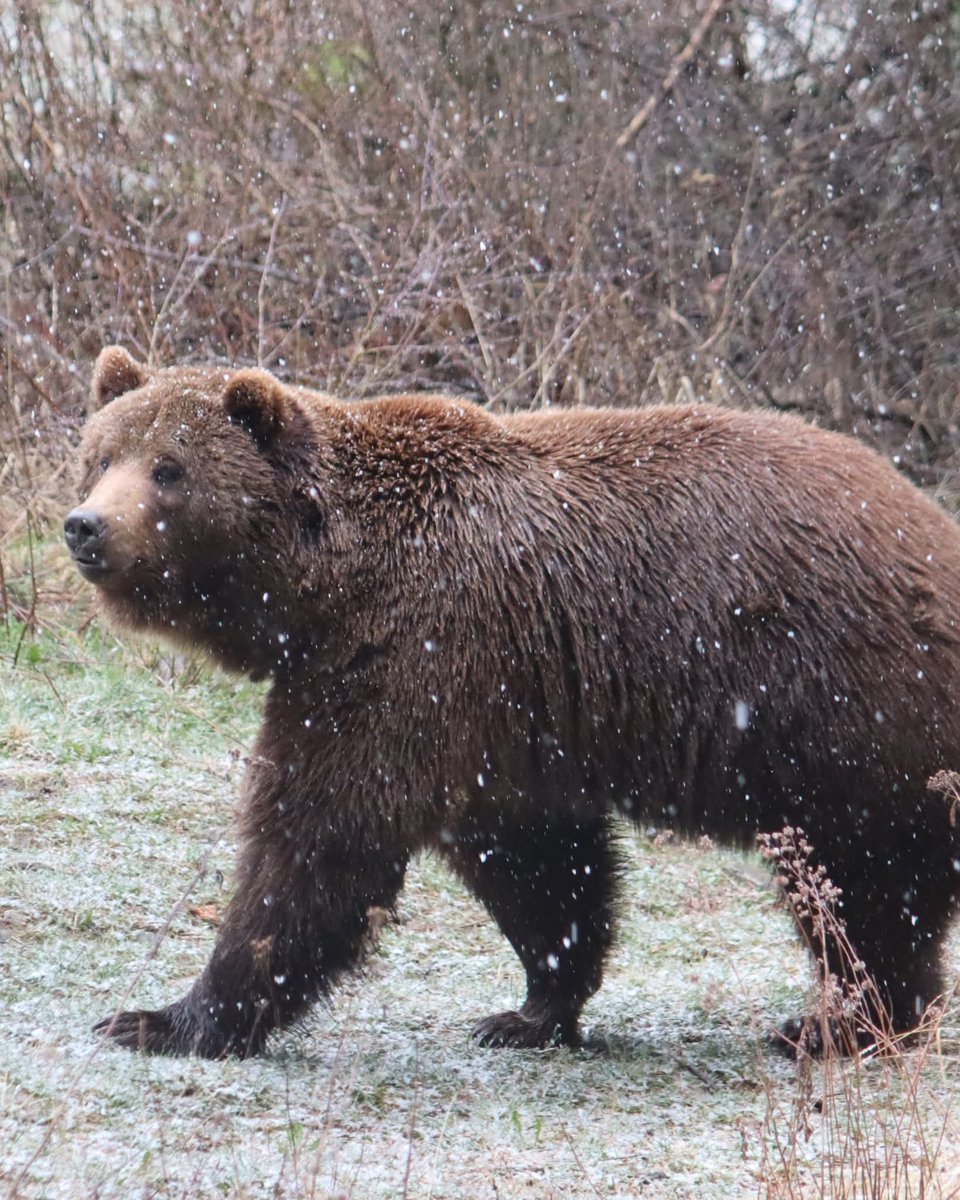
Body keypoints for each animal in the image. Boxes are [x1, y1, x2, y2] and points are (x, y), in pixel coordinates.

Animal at [63, 344, 960, 1059]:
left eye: (169, 468)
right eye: (100, 455)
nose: (85, 527)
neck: (326, 586)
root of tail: (934, 532)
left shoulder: (411, 652)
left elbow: (321, 837)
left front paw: (164, 1017)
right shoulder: (506, 706)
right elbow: (534, 861)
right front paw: (530, 1009)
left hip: (847, 709)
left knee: (865, 883)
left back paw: (839, 1024)